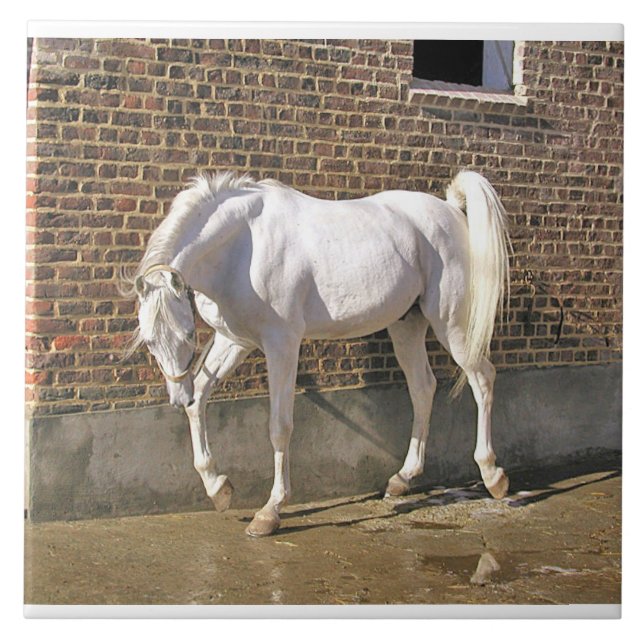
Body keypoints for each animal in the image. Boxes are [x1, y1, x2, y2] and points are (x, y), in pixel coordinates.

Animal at [120, 170, 512, 537]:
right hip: (407, 325)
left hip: (452, 325)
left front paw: (270, 512)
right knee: (423, 388)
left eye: (188, 333)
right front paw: (219, 488)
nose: (175, 396)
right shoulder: (234, 340)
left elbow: (279, 425)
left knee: (482, 379)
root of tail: (451, 210)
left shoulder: (282, 343)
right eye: (149, 341)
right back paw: (403, 478)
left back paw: (493, 475)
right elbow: (199, 399)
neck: (243, 246)